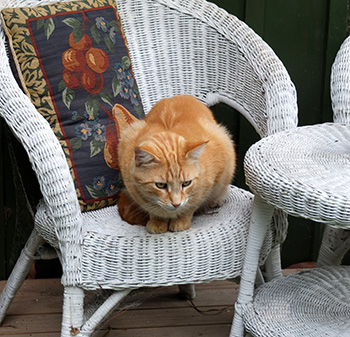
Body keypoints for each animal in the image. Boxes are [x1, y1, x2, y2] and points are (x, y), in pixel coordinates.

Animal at [117, 93, 235, 232]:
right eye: (160, 185)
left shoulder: (207, 185)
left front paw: (181, 220)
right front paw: (158, 221)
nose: (176, 203)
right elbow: (153, 210)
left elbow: (190, 206)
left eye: (186, 183)